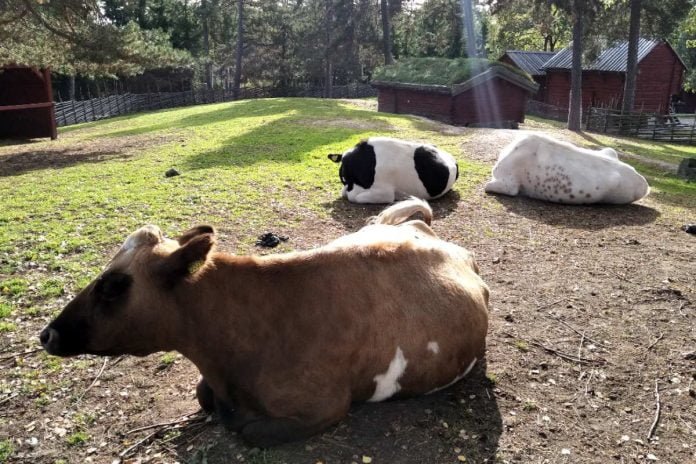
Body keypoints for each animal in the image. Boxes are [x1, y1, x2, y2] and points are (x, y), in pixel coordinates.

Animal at [40, 198, 490, 448]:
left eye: (114, 285)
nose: (48, 334)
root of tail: (428, 231)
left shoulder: (327, 406)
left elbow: (249, 430)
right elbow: (204, 397)